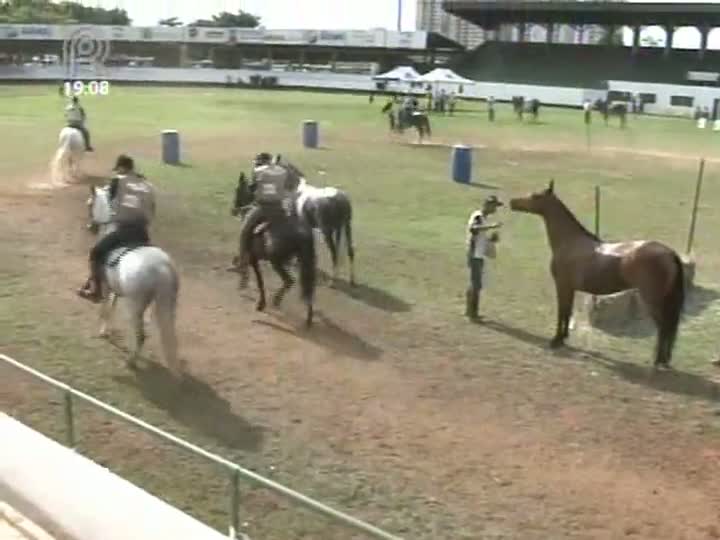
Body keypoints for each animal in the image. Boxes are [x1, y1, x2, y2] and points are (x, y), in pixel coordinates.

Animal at [87, 185, 183, 376]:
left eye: (90, 204)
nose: (90, 227)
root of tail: (161, 268)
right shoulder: (114, 289)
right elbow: (111, 306)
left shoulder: (106, 287)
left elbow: (105, 308)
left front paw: (103, 332)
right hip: (167, 306)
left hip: (134, 306)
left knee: (140, 336)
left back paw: (130, 362)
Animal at [510, 179, 684, 370]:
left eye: (535, 196)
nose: (512, 202)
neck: (570, 242)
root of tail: (669, 253)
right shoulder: (570, 288)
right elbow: (567, 312)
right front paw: (563, 338)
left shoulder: (562, 286)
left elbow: (562, 312)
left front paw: (556, 340)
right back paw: (664, 360)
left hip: (653, 300)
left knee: (663, 328)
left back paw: (658, 362)